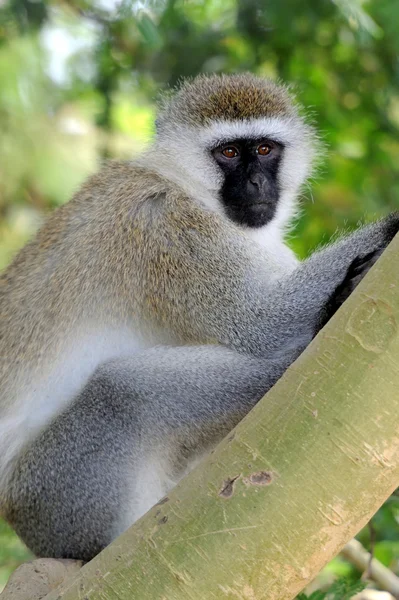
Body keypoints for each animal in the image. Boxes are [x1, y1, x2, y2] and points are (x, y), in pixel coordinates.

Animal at [0, 74, 398, 556]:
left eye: (264, 149)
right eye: (228, 153)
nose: (256, 184)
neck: (187, 188)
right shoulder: (166, 226)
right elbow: (259, 323)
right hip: (52, 495)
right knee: (126, 388)